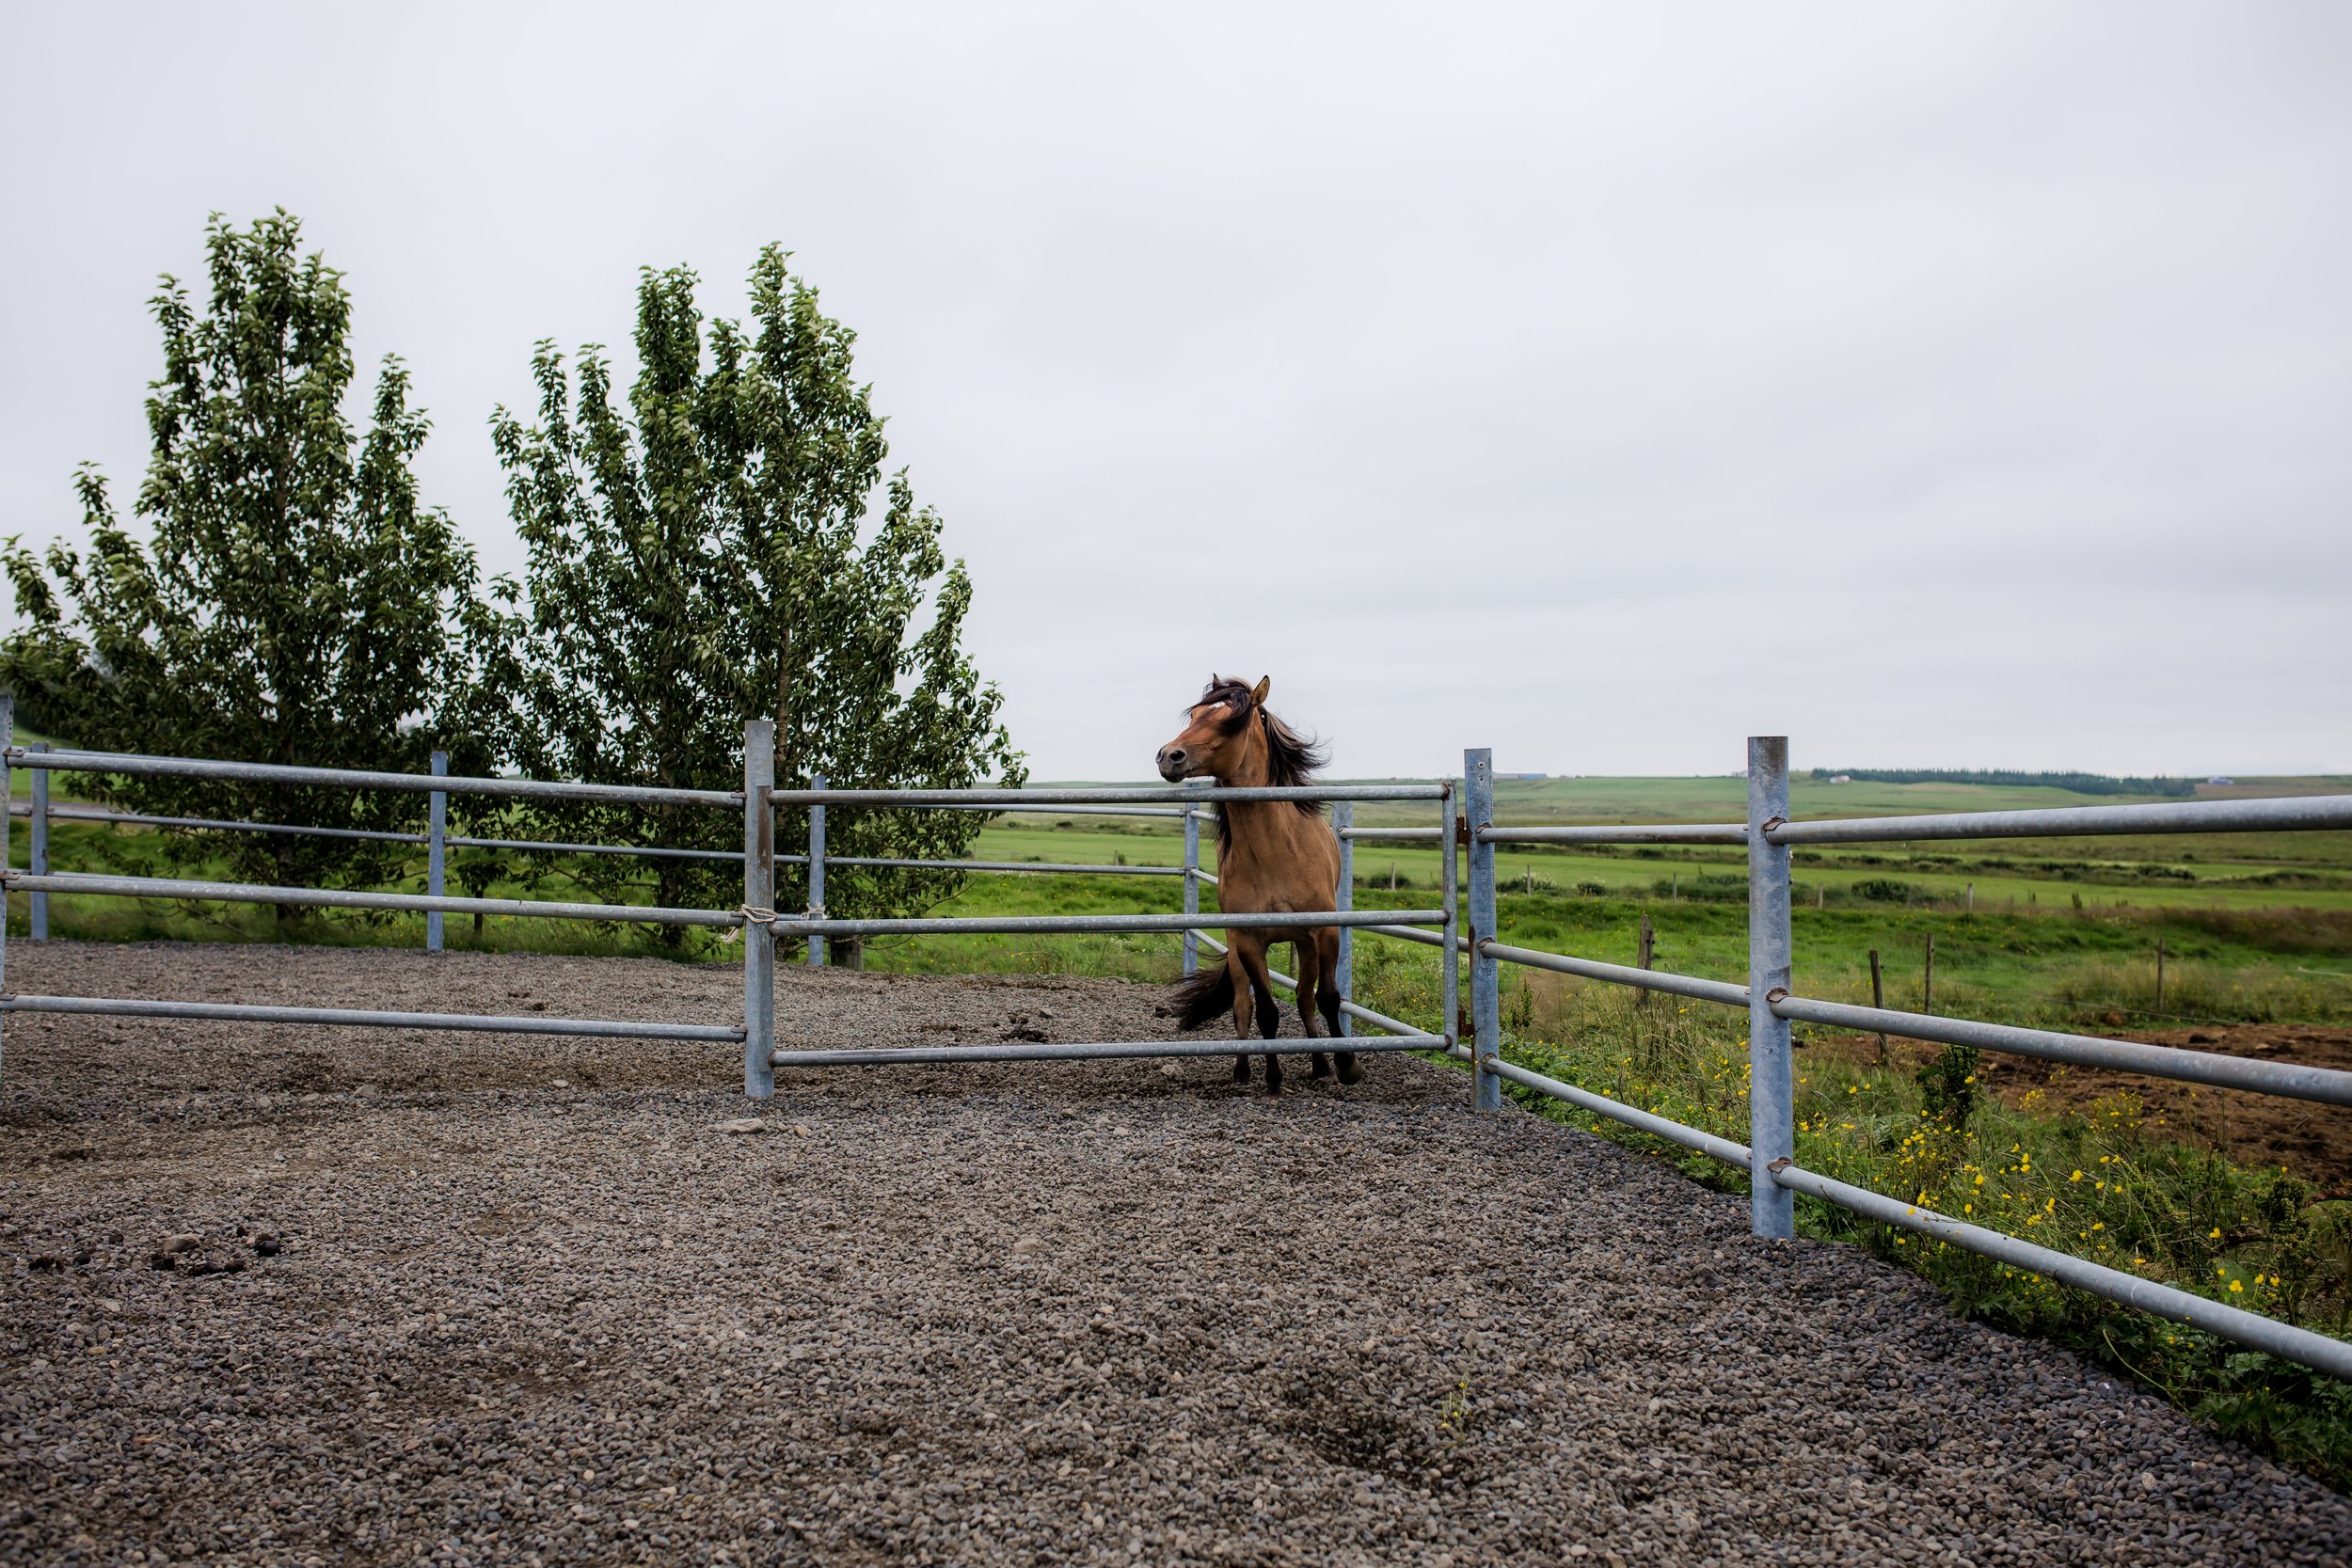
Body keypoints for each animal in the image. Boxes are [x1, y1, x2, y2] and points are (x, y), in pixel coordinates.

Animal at [1157, 681, 1364, 1100]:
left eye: (1229, 720)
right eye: (1194, 716)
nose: (1169, 756)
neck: (1276, 852)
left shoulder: (1325, 932)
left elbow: (1327, 998)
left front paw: (1346, 1065)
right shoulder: (1250, 941)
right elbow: (1266, 1011)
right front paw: (1272, 1078)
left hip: (1304, 945)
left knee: (1304, 998)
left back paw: (1321, 1065)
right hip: (1237, 950)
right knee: (1243, 1005)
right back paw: (1242, 1071)